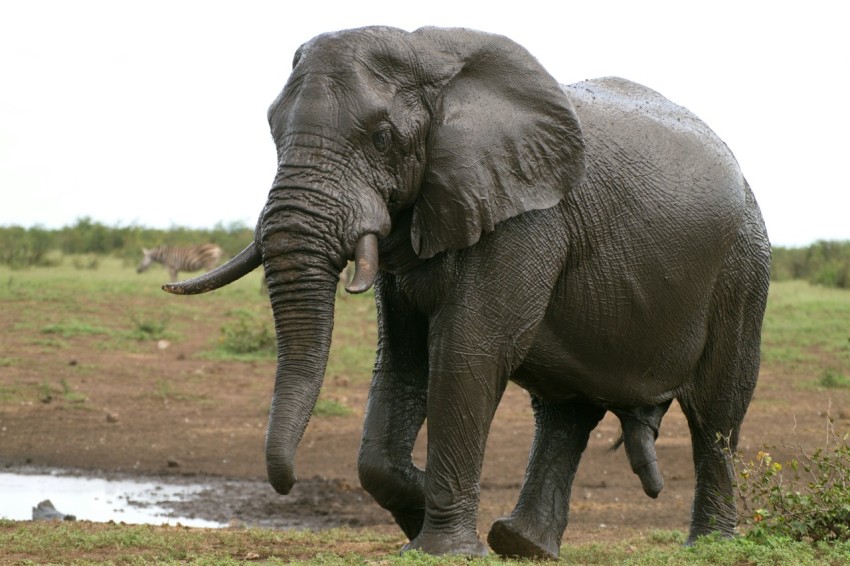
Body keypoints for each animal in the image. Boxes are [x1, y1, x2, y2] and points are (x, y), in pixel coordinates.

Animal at [163, 26, 771, 559]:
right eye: (271, 129)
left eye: (382, 138)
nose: (286, 484)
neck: (432, 61)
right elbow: (401, 361)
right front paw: (417, 511)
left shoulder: (527, 215)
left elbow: (467, 353)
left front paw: (440, 545)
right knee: (566, 410)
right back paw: (521, 544)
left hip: (743, 265)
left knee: (716, 413)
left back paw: (709, 546)